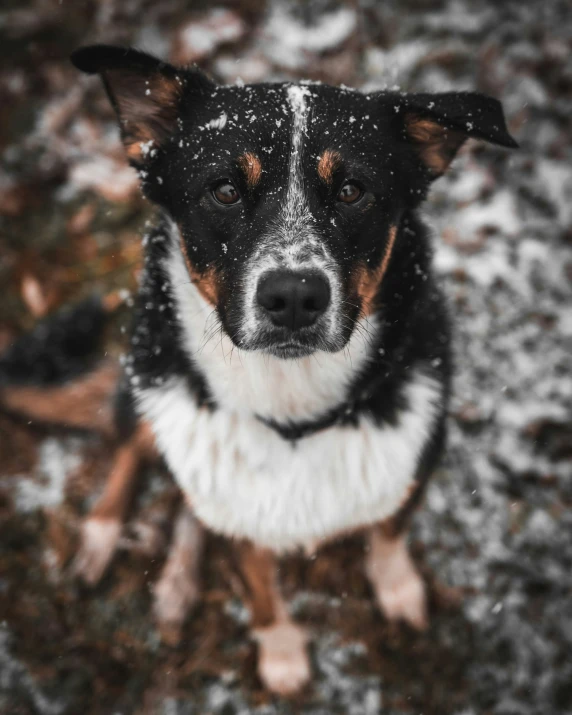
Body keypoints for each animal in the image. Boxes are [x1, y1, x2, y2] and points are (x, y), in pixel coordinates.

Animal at [1, 43, 520, 692]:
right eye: (223, 191)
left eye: (353, 191)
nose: (294, 296)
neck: (293, 409)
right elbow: (258, 587)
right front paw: (281, 655)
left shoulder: (417, 456)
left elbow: (389, 533)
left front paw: (399, 590)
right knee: (133, 449)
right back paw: (100, 537)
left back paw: (174, 586)